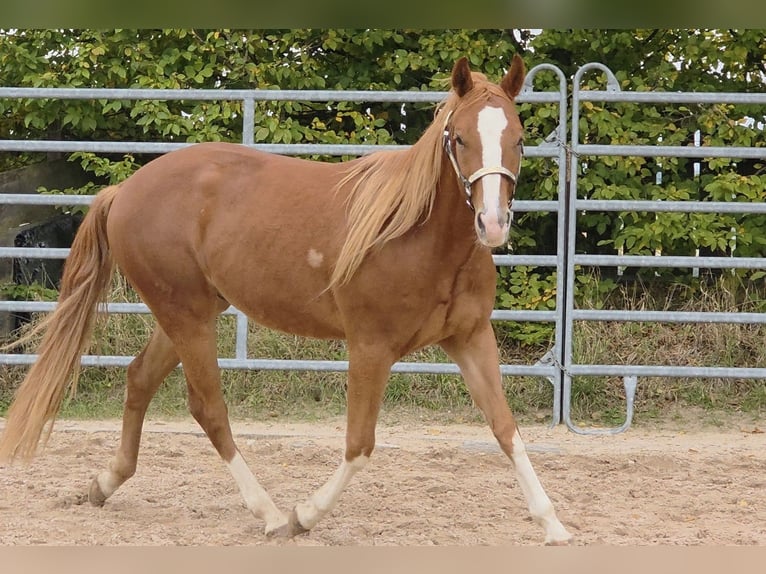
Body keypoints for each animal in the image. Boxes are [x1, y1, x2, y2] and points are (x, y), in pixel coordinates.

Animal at [0, 55, 572, 545]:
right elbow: (359, 444)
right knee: (208, 407)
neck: (416, 234)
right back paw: (271, 513)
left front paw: (554, 525)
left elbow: (505, 428)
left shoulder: (470, 339)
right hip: (187, 316)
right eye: (459, 138)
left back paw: (104, 484)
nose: (493, 224)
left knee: (140, 378)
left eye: (519, 138)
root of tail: (125, 191)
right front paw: (304, 516)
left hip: (188, 313)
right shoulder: (370, 348)